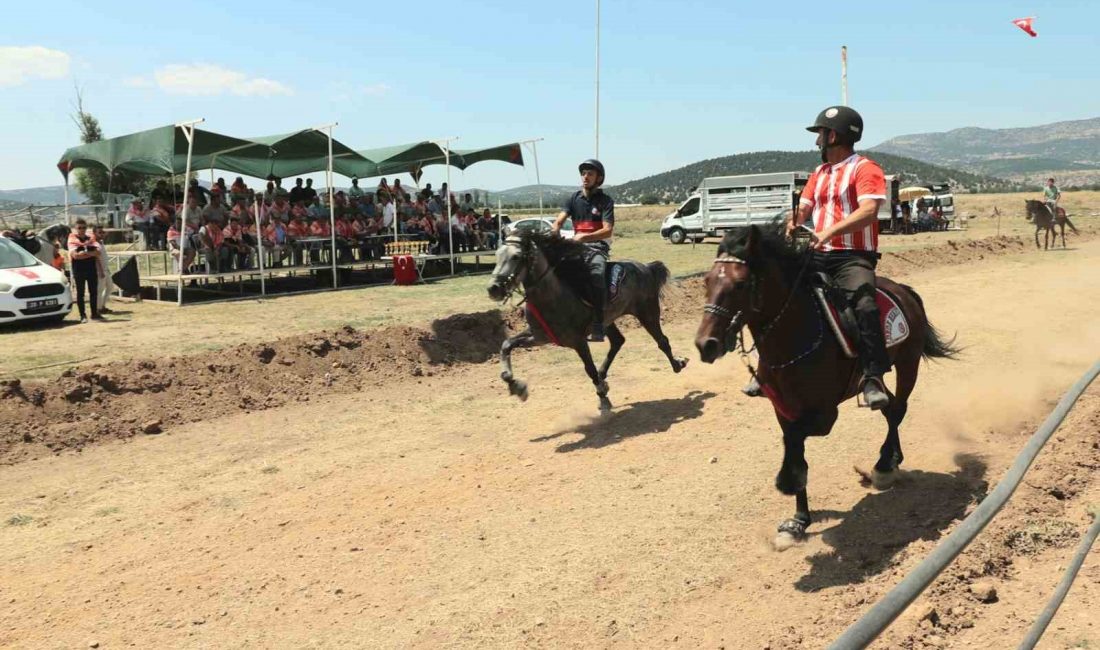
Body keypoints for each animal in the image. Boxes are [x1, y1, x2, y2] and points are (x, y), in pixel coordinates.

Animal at [486, 229, 682, 411]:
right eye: (497, 254)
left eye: (516, 256)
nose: (493, 288)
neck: (552, 296)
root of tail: (647, 267)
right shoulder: (539, 336)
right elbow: (506, 345)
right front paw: (516, 386)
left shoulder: (578, 341)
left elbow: (589, 369)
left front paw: (603, 398)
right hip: (607, 322)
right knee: (618, 341)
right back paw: (604, 376)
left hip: (647, 313)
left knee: (662, 341)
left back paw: (677, 364)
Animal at [699, 226, 959, 552]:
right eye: (707, 281)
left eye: (741, 284)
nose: (705, 344)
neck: (797, 333)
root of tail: (902, 290)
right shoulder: (783, 408)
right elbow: (794, 445)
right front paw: (798, 521)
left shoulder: (824, 415)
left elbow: (795, 443)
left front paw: (787, 481)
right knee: (888, 407)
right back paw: (892, 460)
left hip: (908, 363)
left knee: (898, 408)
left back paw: (883, 466)